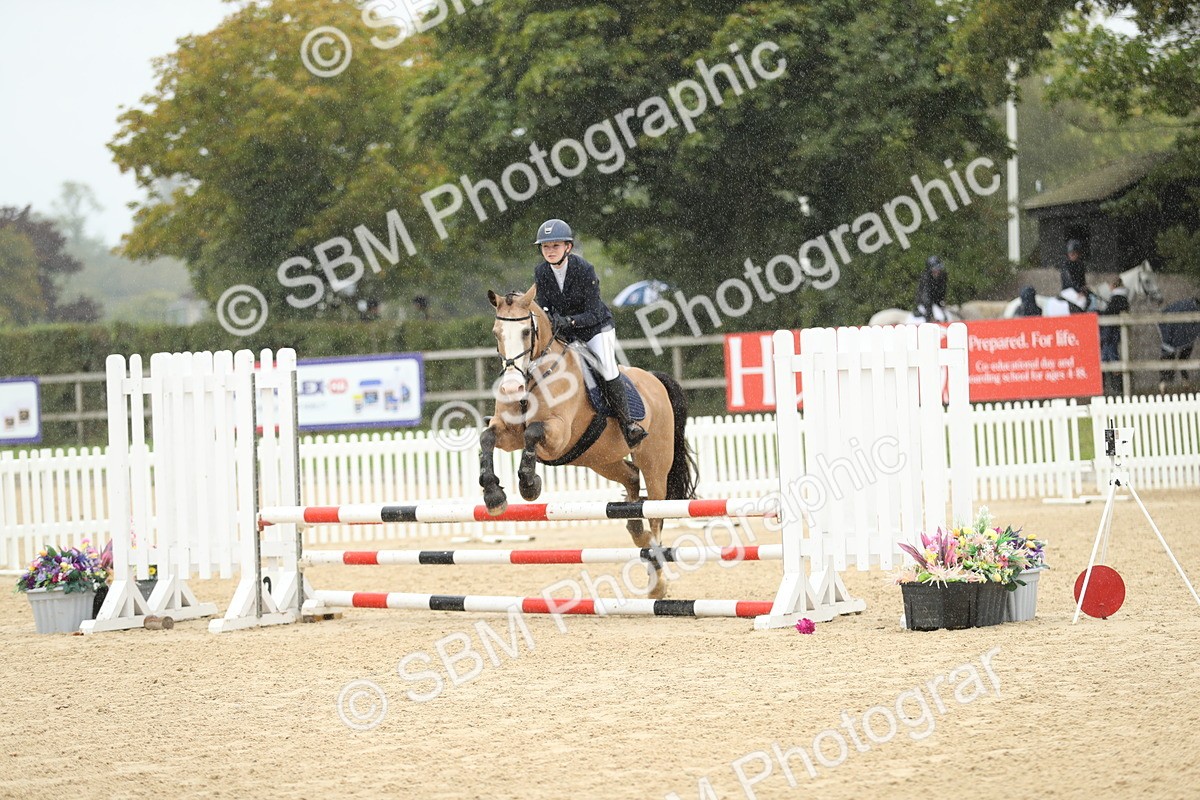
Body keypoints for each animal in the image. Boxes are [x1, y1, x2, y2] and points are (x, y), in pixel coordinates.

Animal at [478, 286, 697, 598]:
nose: (511, 388)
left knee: (656, 513)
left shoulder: (557, 435)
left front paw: (529, 484)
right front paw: (494, 495)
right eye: (496, 333)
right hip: (599, 459)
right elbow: (487, 437)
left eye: (525, 332)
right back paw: (636, 531)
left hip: (655, 462)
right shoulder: (509, 434)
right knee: (632, 479)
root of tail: (655, 380)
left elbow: (533, 432)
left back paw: (657, 583)